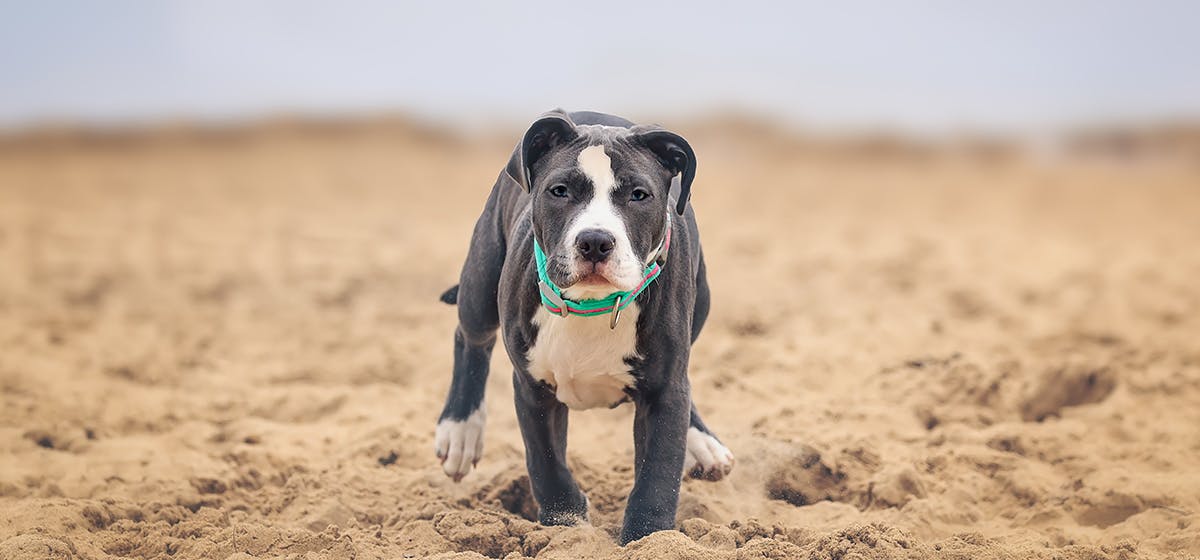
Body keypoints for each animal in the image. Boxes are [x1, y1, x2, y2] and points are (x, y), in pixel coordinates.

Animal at [432, 108, 729, 544]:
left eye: (639, 195)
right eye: (559, 191)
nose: (595, 241)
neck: (592, 305)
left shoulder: (665, 390)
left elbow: (658, 471)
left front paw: (650, 538)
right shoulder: (533, 388)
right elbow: (546, 461)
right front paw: (565, 525)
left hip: (702, 302)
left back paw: (702, 443)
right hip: (481, 276)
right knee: (470, 338)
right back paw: (460, 431)